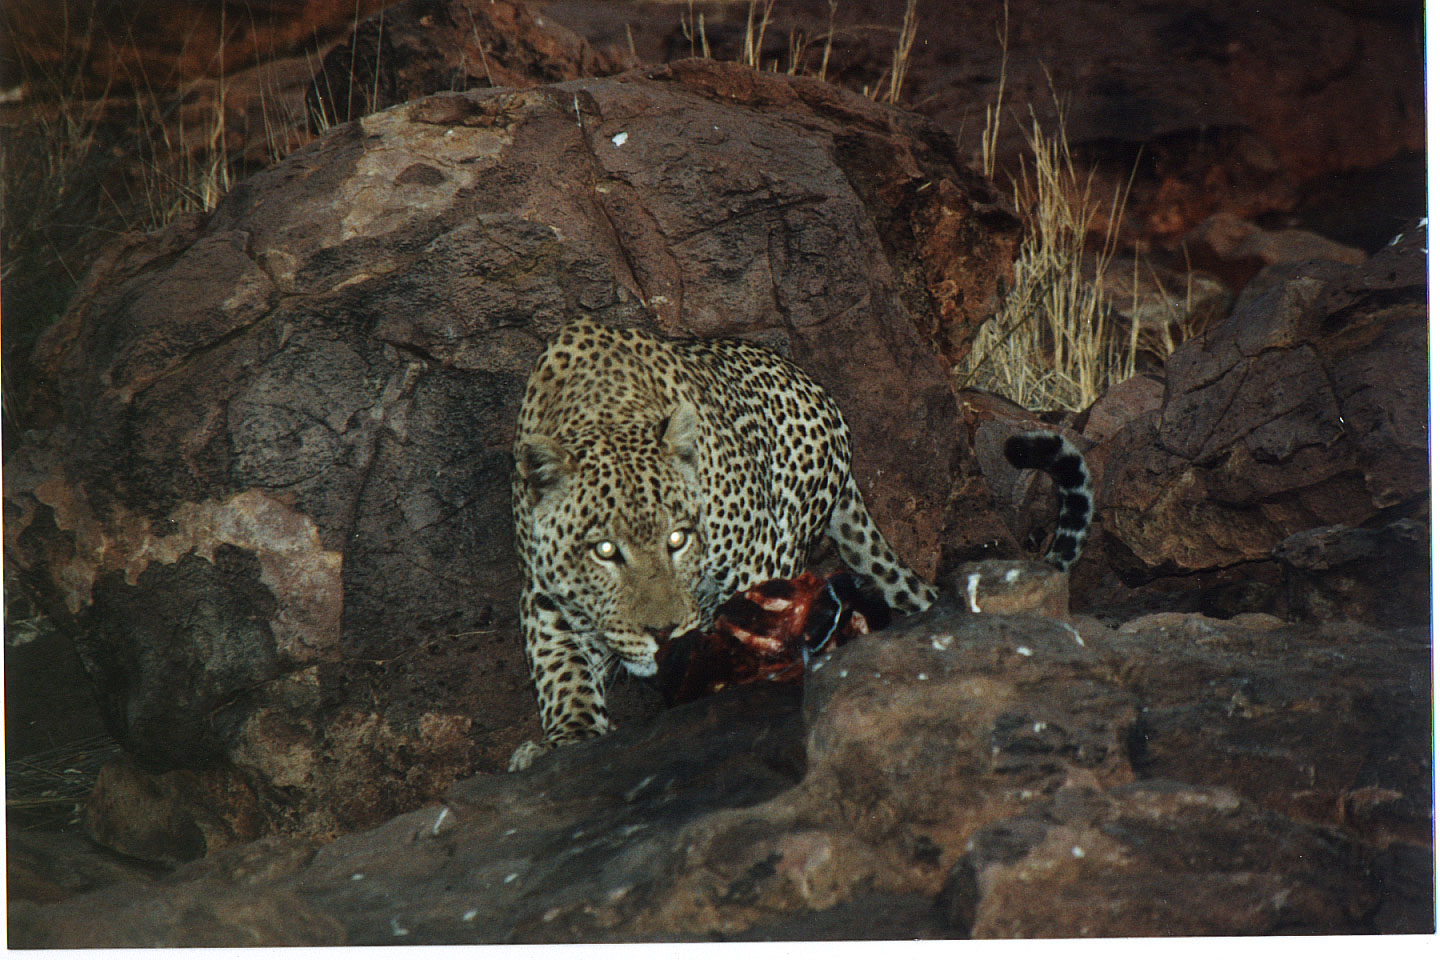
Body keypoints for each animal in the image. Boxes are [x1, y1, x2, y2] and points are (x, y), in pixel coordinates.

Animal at [512, 319, 1082, 771]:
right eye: (605, 551)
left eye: (678, 539)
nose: (662, 633)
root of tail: (821, 394)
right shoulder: (543, 590)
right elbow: (560, 668)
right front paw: (566, 739)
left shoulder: (753, 558)